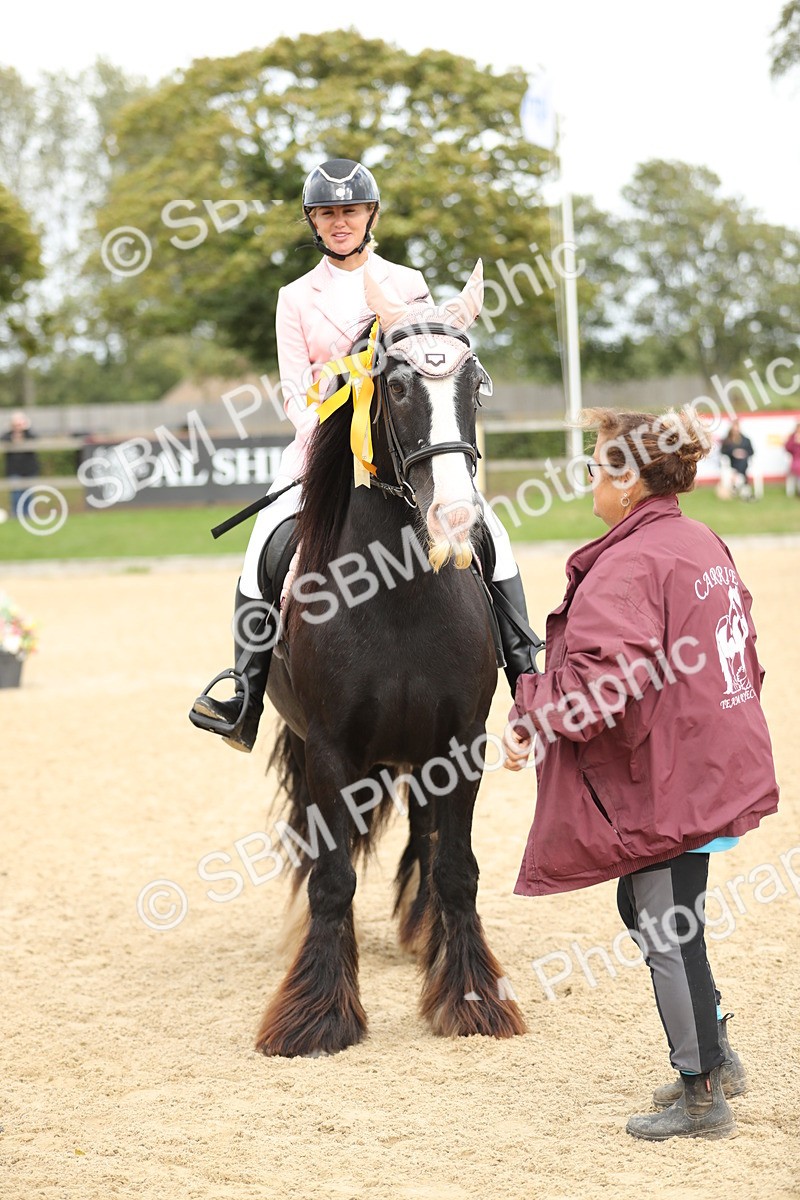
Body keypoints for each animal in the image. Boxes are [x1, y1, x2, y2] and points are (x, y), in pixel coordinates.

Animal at [256, 260, 527, 1057]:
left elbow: (457, 869)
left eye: (475, 384)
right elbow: (331, 880)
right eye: (398, 385)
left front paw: (470, 1000)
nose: (456, 517)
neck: (397, 592)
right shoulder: (328, 749)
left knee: (429, 842)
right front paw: (317, 1016)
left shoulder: (460, 743)